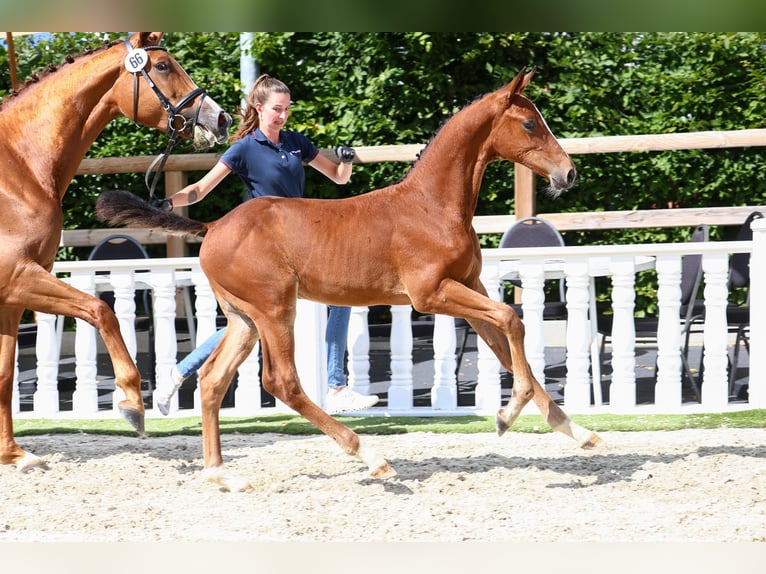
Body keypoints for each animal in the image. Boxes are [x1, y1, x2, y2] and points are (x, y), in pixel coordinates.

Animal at [0, 32, 234, 472]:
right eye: (163, 66)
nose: (221, 118)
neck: (17, 169)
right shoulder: (17, 277)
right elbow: (100, 309)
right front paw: (132, 402)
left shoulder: (13, 293)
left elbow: (5, 373)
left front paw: (14, 455)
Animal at [96, 67, 604, 490]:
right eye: (530, 124)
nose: (569, 173)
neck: (432, 205)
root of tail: (214, 227)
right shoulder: (431, 294)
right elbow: (513, 321)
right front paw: (507, 414)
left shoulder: (469, 287)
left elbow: (507, 343)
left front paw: (578, 432)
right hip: (275, 308)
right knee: (281, 381)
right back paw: (370, 455)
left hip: (244, 319)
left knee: (213, 380)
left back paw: (222, 474)